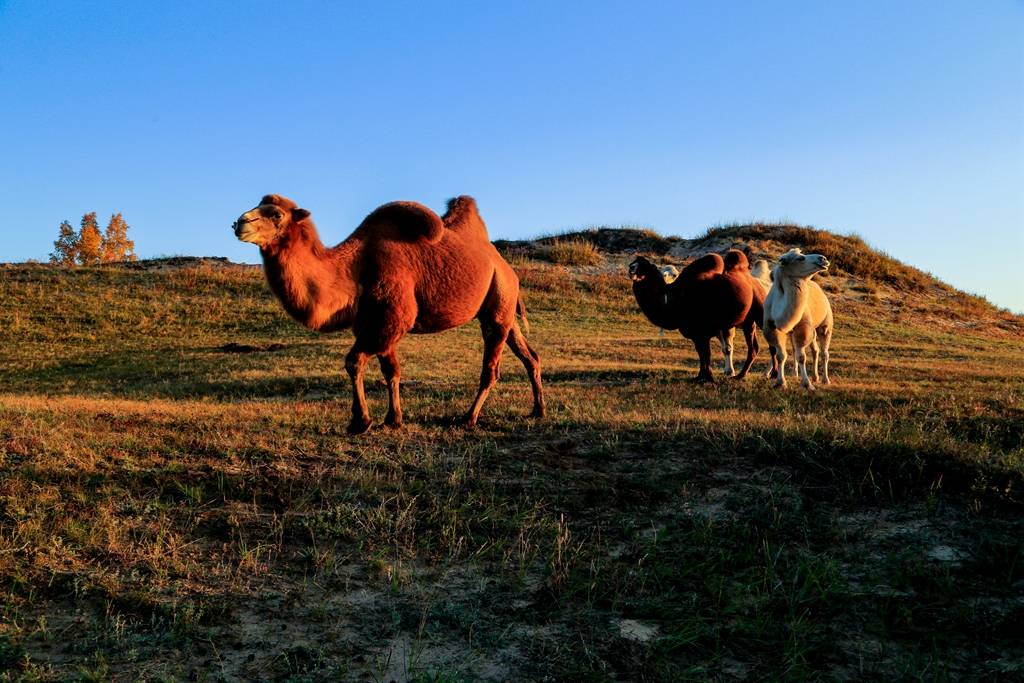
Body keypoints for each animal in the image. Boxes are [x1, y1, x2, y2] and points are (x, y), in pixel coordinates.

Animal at [231, 192, 544, 436]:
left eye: (275, 214)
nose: (239, 223)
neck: (353, 268)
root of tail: (506, 267)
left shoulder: (393, 315)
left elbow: (354, 361)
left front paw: (360, 421)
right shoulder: (373, 322)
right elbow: (391, 369)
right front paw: (393, 419)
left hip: (498, 299)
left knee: (491, 369)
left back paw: (468, 418)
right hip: (503, 309)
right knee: (529, 355)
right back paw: (538, 410)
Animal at [626, 249, 765, 382]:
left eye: (644, 266)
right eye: (632, 263)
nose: (630, 268)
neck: (675, 298)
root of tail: (755, 281)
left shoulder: (703, 331)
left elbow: (707, 353)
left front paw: (709, 378)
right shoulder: (695, 333)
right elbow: (700, 353)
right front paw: (700, 376)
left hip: (759, 311)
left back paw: (751, 375)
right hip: (748, 320)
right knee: (754, 347)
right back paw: (742, 375)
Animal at [761, 249, 831, 389]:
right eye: (800, 258)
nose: (823, 258)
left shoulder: (802, 327)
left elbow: (801, 357)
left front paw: (807, 384)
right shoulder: (772, 328)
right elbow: (780, 355)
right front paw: (780, 382)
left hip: (825, 325)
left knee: (824, 352)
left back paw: (825, 379)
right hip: (803, 330)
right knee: (813, 350)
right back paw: (811, 376)